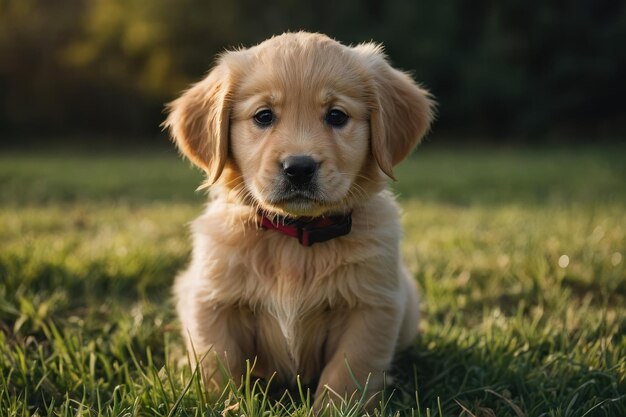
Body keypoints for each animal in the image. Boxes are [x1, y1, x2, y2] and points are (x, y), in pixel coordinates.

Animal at [163, 31, 432, 406]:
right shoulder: (211, 300)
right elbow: (218, 363)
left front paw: (335, 409)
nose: (299, 168)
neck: (294, 235)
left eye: (336, 116)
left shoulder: (371, 307)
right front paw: (224, 404)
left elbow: (348, 370)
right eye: (263, 116)